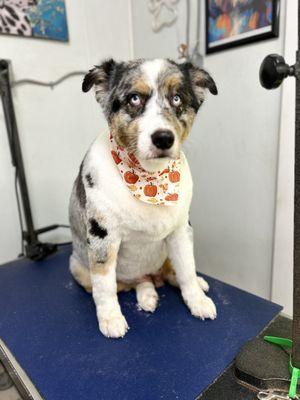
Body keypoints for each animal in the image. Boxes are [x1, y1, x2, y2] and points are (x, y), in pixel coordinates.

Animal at [68, 58, 218, 338]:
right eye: (134, 98)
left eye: (177, 98)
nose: (163, 138)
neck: (150, 178)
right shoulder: (103, 236)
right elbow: (104, 287)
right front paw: (111, 318)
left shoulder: (181, 231)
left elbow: (187, 269)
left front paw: (197, 300)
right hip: (78, 267)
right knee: (129, 283)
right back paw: (147, 295)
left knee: (173, 272)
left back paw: (191, 284)